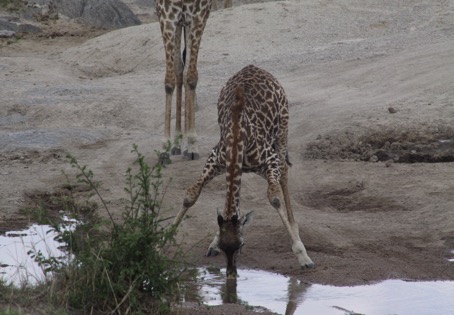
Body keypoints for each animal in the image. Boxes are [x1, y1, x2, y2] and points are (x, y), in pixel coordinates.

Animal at [172, 65, 314, 278]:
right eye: (225, 248)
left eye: (241, 246)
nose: (231, 275)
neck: (237, 134)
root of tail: (254, 67)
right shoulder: (215, 160)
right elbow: (191, 195)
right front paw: (162, 241)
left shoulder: (270, 160)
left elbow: (275, 198)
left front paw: (302, 255)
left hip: (282, 132)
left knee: (284, 176)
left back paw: (295, 230)